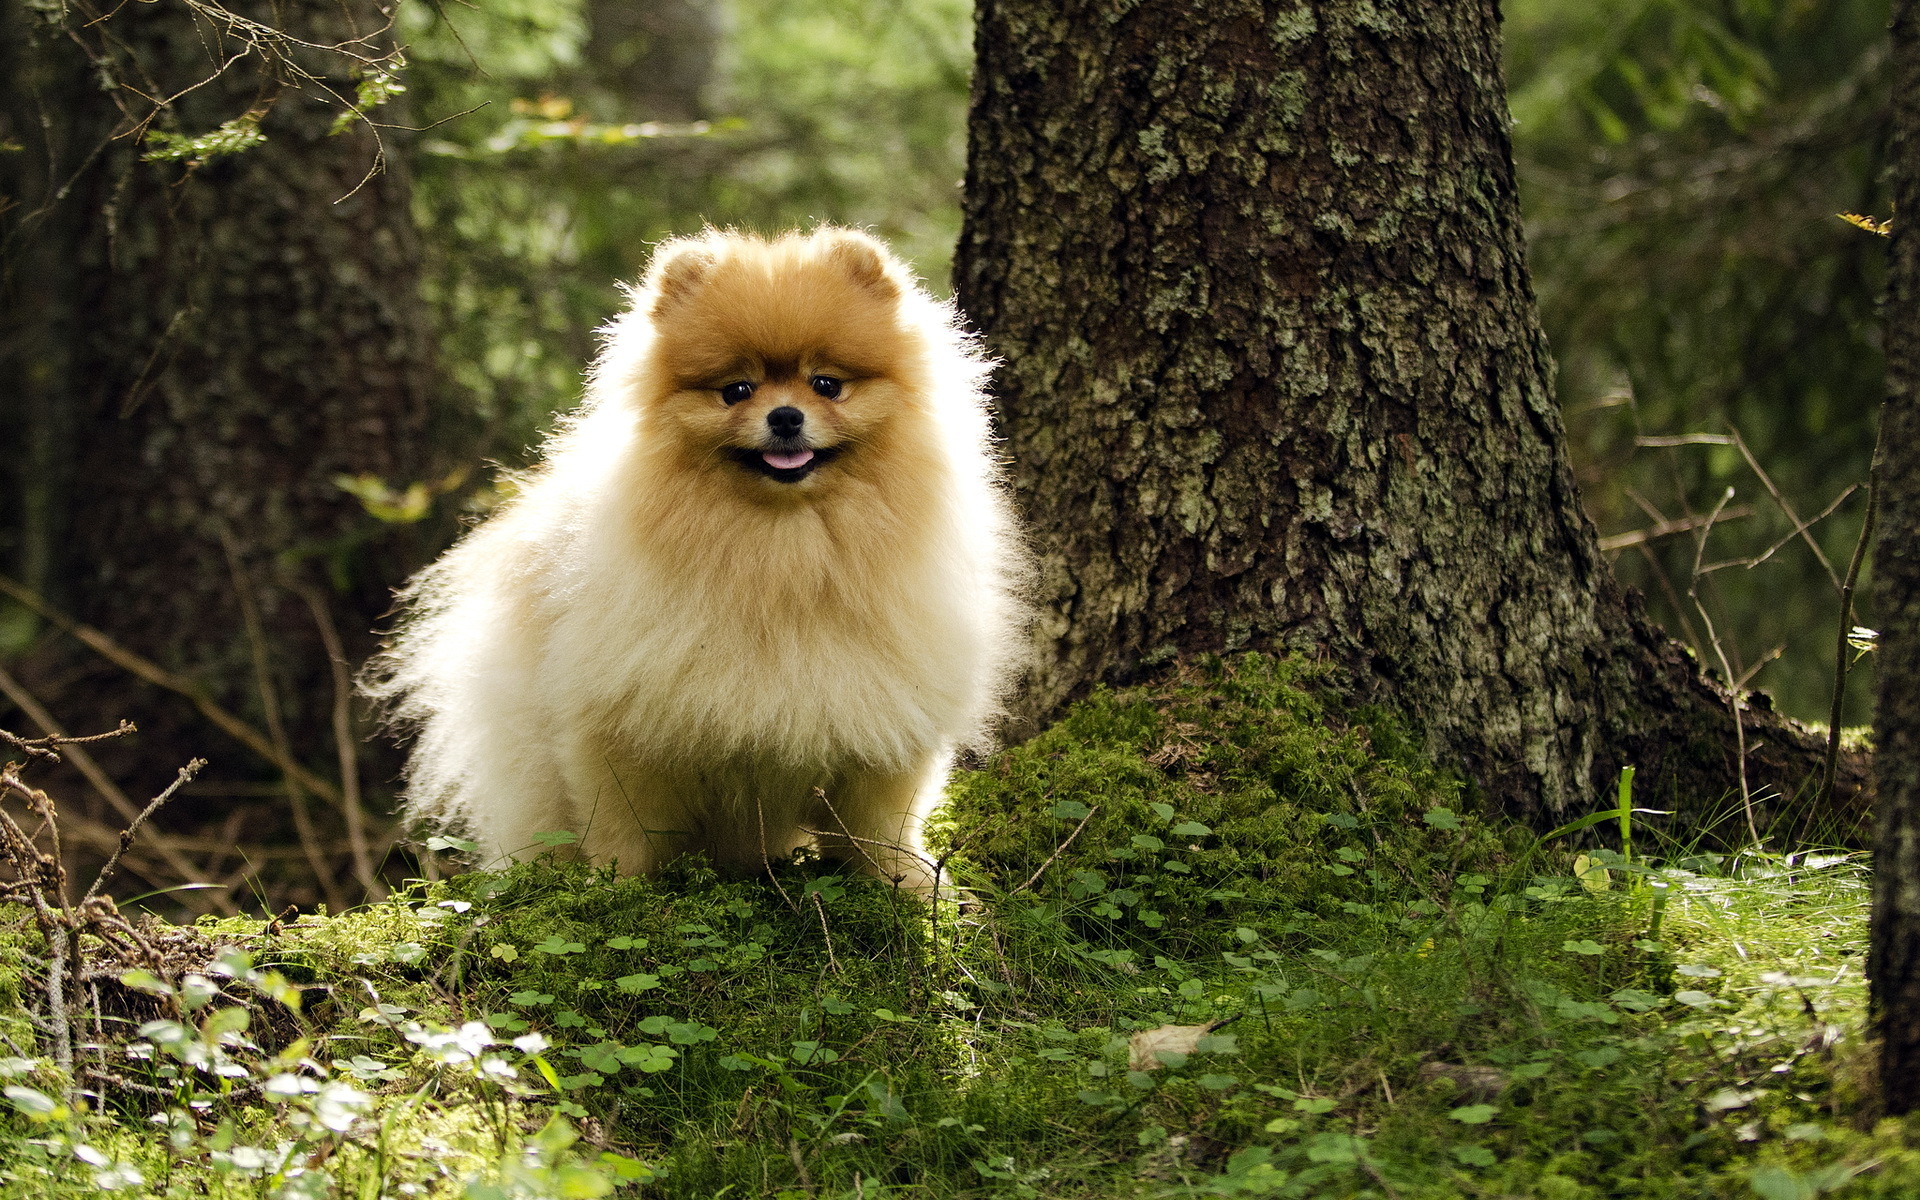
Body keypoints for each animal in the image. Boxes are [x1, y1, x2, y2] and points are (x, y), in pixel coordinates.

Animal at [366, 226, 1029, 890]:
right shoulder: (627, 724)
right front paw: (622, 888)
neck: (781, 547)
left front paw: (907, 884)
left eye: (827, 384)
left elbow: (880, 823)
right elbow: (628, 829)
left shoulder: (885, 710)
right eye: (736, 390)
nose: (785, 416)